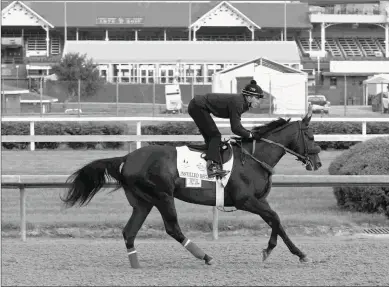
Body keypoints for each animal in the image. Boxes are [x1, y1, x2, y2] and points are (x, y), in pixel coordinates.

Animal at [60, 111, 322, 270]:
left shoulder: (259, 201)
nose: (318, 163)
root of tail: (126, 157)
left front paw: (295, 253)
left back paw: (136, 264)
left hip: (143, 202)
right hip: (162, 196)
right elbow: (275, 218)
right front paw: (274, 250)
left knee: (129, 232)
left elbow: (277, 222)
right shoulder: (245, 200)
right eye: (310, 135)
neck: (254, 158)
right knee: (172, 228)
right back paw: (205, 256)